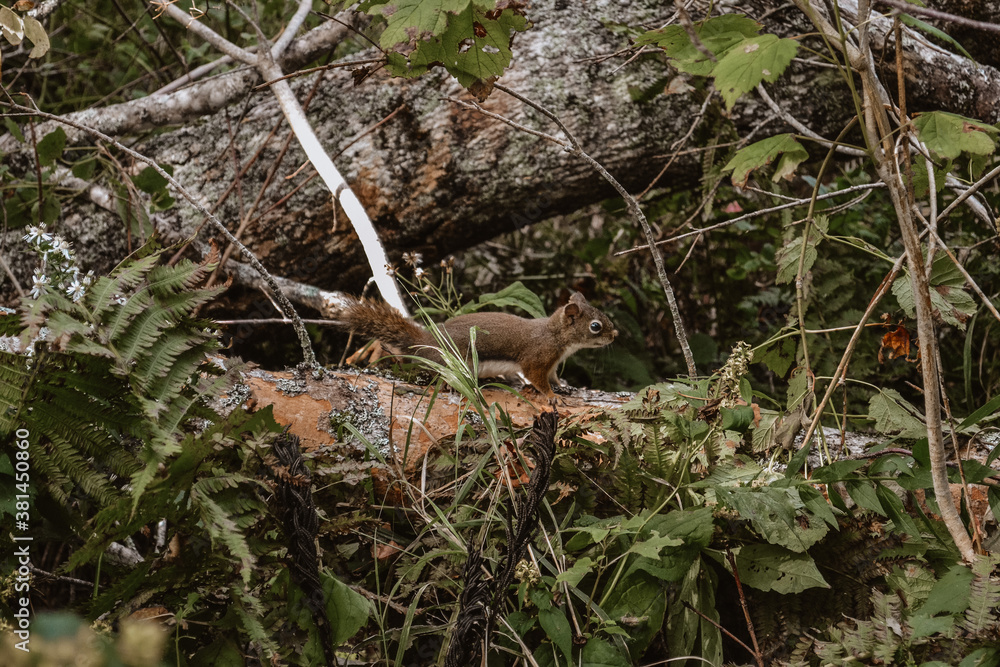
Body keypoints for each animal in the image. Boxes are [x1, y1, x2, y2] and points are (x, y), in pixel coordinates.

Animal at [338, 292, 617, 399]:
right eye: (595, 326)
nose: (615, 334)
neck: (556, 336)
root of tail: (427, 343)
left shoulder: (552, 364)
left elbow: (554, 377)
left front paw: (564, 387)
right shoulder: (537, 358)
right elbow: (537, 379)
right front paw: (551, 396)